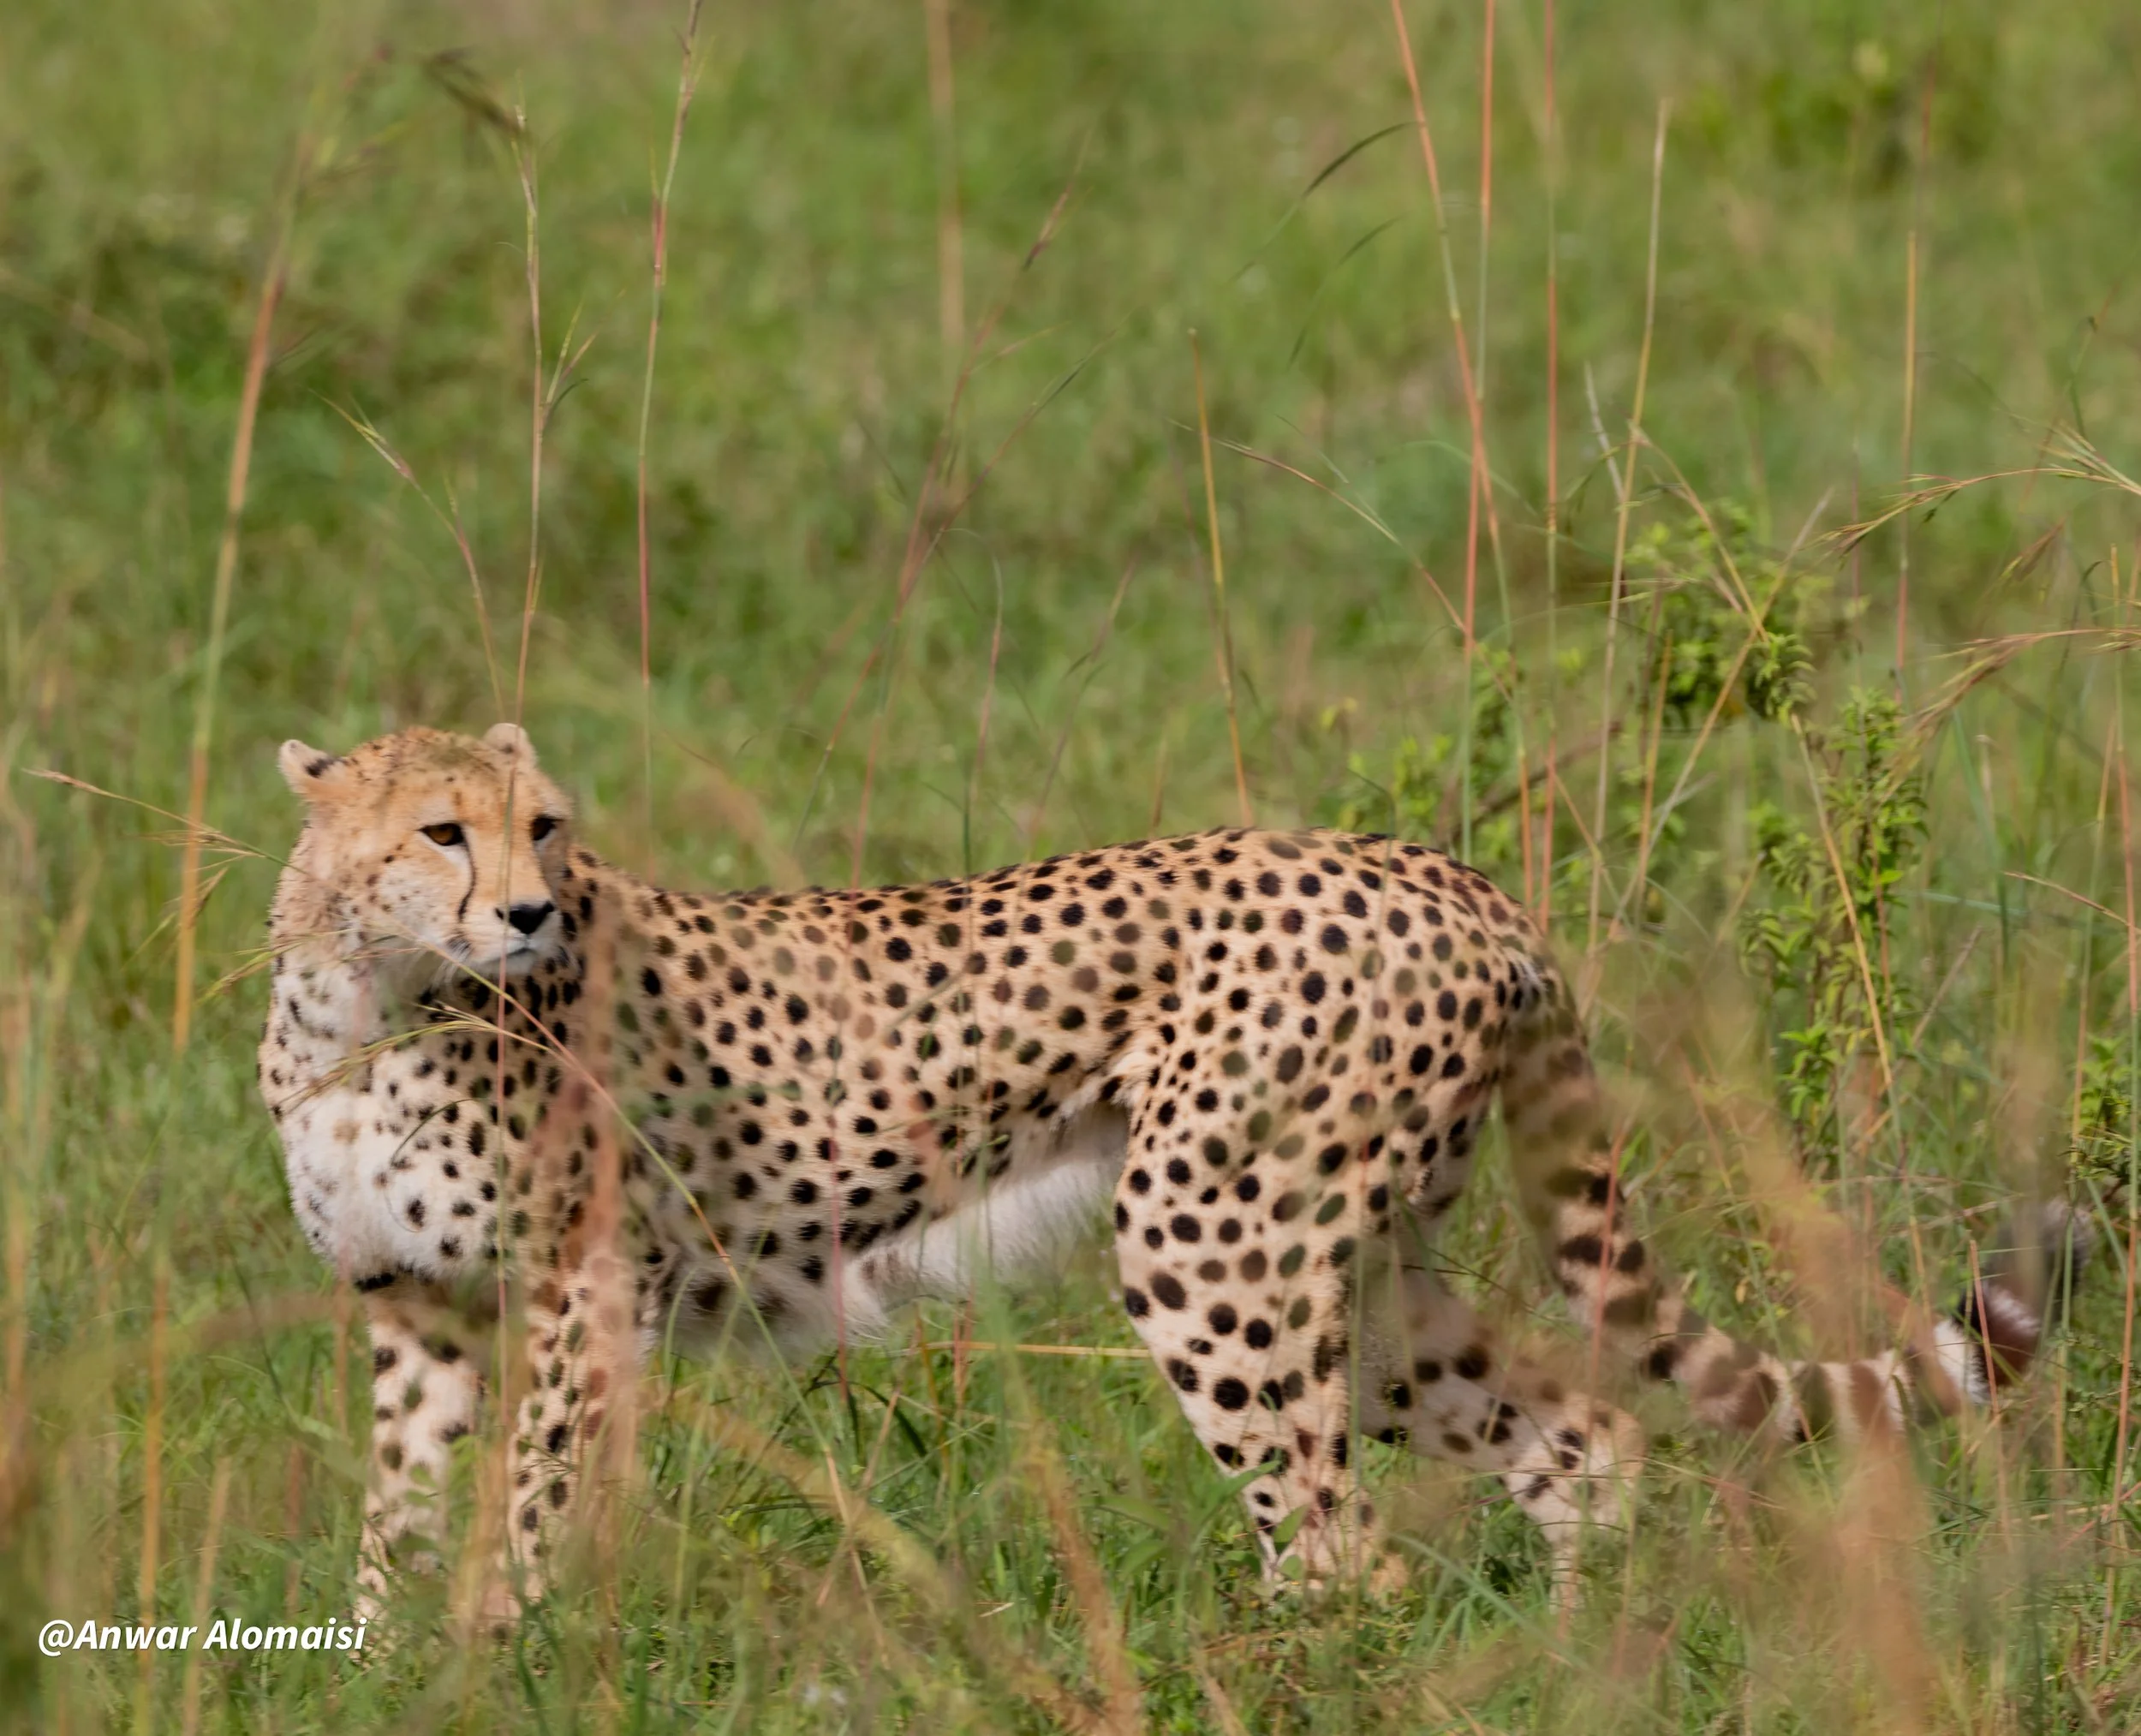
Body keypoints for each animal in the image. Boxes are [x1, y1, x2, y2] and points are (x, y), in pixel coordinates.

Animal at [258, 721, 2087, 1614]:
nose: (530, 911)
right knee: (1579, 1436)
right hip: (1361, 1270)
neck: (374, 996)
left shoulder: (585, 1295)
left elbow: (527, 1503)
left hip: (1211, 1237)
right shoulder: (417, 1307)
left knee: (1342, 1548)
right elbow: (400, 1500)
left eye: (546, 824)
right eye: (443, 828)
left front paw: (501, 1646)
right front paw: (387, 1654)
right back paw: (1587, 1663)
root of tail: (1445, 870)